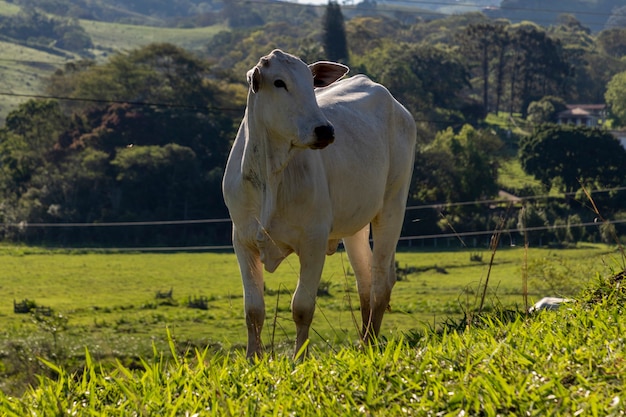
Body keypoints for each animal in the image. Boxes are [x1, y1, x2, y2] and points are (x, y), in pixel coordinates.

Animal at [221, 49, 414, 358]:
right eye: (279, 82)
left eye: (311, 83)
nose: (324, 130)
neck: (271, 173)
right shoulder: (242, 239)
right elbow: (253, 310)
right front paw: (253, 359)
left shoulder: (313, 240)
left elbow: (302, 307)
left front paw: (299, 358)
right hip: (355, 226)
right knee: (364, 282)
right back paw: (364, 342)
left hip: (392, 207)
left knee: (380, 282)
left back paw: (371, 344)